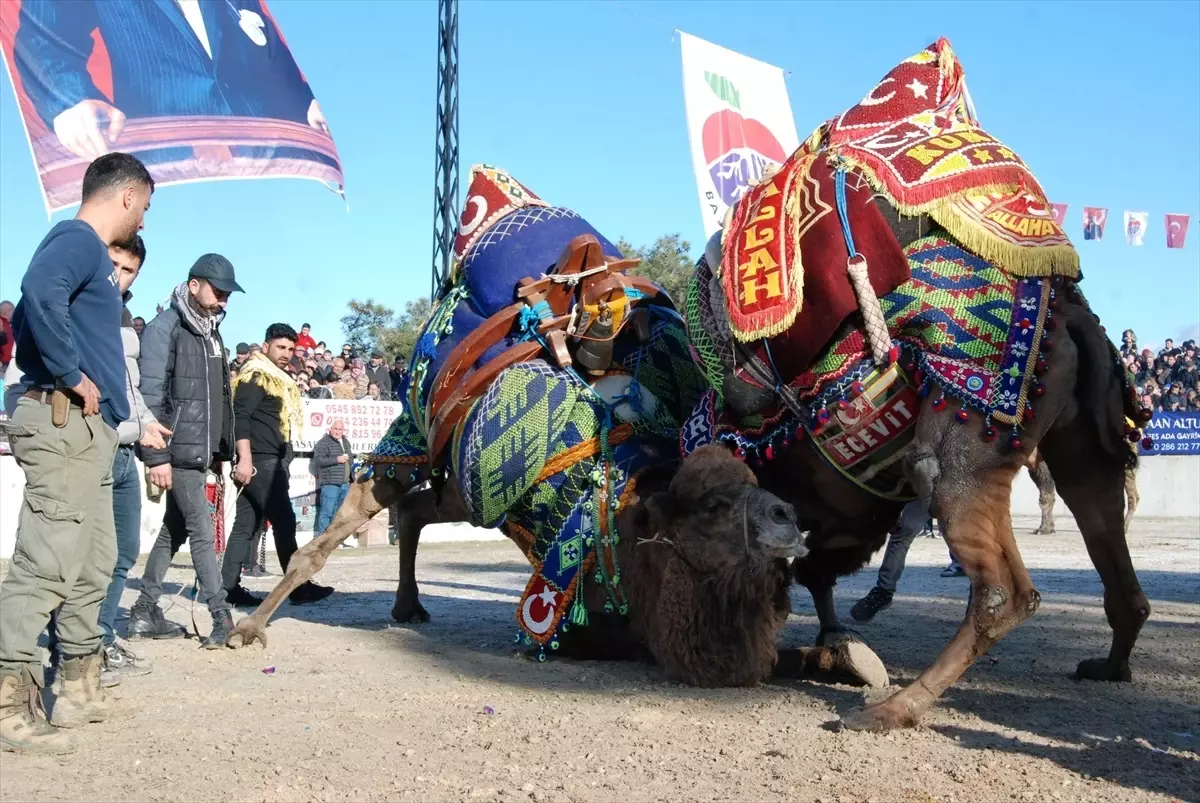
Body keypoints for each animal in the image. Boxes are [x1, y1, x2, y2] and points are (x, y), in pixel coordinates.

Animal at [229, 444, 892, 691]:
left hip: (464, 492)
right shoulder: (607, 636)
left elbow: (791, 656)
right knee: (359, 513)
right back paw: (248, 628)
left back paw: (407, 606)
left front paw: (854, 658)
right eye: (713, 505)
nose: (789, 518)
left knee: (415, 508)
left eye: (756, 484)